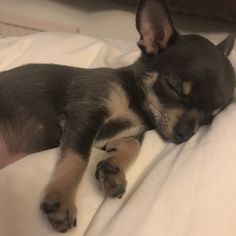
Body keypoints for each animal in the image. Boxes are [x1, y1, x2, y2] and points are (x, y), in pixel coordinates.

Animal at [0, 0, 235, 233]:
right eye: (173, 86)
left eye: (209, 117)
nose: (185, 134)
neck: (136, 106)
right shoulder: (85, 115)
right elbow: (78, 157)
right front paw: (61, 199)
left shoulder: (121, 134)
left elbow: (133, 146)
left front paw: (112, 168)